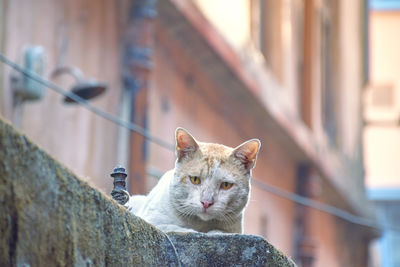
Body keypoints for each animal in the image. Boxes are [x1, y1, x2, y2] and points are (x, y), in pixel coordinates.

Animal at [122, 129, 260, 233]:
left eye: (226, 185)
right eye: (195, 179)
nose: (206, 202)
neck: (200, 224)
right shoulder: (154, 219)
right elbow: (177, 228)